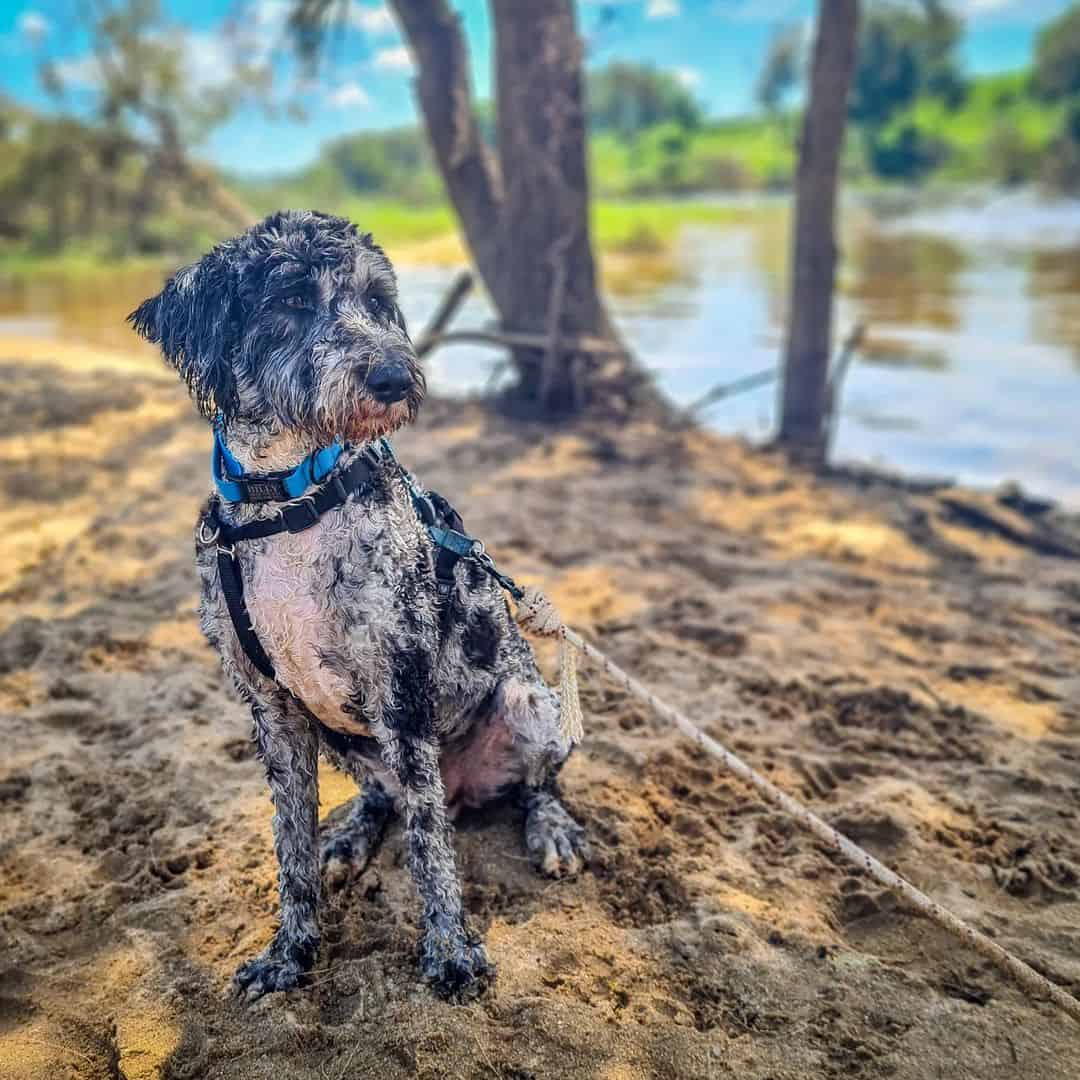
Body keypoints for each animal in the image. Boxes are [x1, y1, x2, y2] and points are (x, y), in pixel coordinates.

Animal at [129, 210, 587, 1002]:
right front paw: (290, 953)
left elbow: (431, 850)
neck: (287, 502)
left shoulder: (400, 689)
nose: (396, 378)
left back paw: (548, 827)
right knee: (388, 799)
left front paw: (450, 953)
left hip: (526, 701)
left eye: (377, 300)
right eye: (289, 300)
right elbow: (291, 849)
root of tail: (464, 787)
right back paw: (348, 836)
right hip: (344, 737)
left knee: (524, 785)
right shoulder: (274, 712)